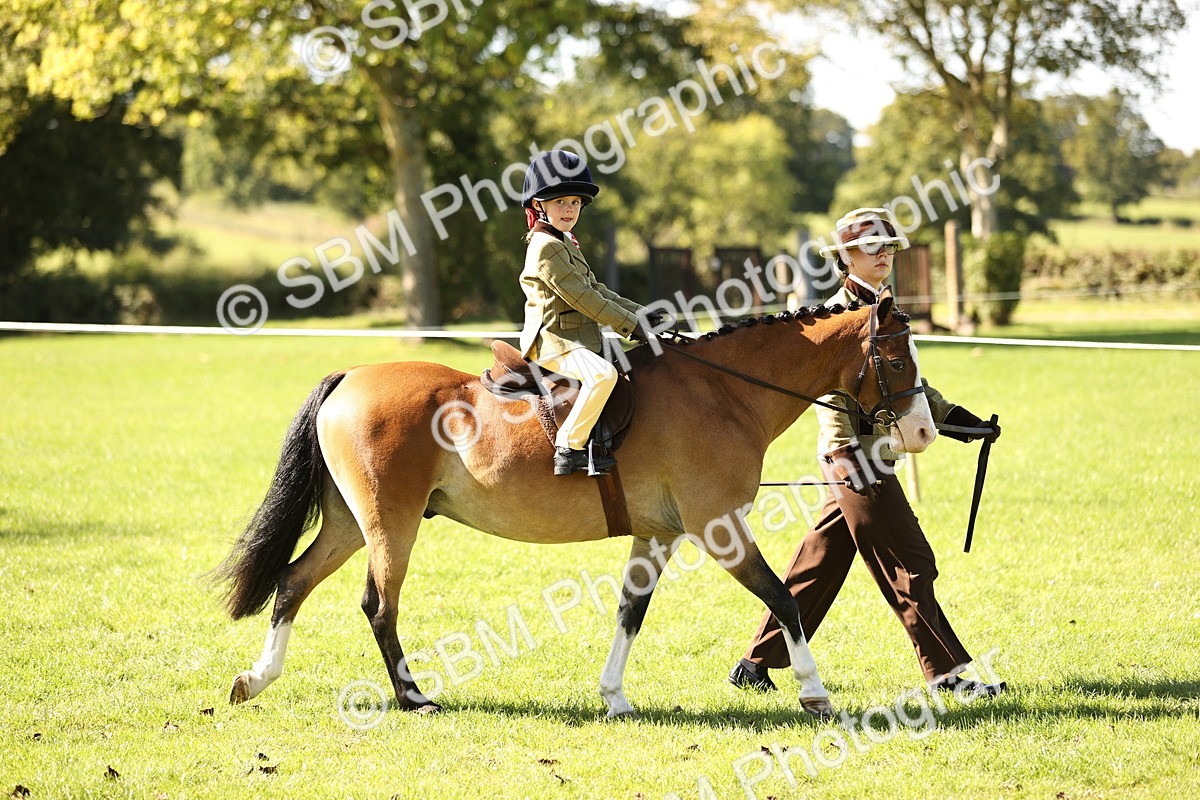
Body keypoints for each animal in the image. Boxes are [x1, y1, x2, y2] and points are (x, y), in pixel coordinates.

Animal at [216, 289, 936, 720]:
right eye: (898, 360)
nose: (925, 431)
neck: (722, 392)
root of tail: (349, 379)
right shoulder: (719, 528)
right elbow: (783, 598)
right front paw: (815, 692)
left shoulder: (659, 535)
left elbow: (630, 612)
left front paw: (614, 697)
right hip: (389, 526)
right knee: (377, 604)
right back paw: (413, 696)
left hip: (349, 523)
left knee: (294, 580)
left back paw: (257, 678)